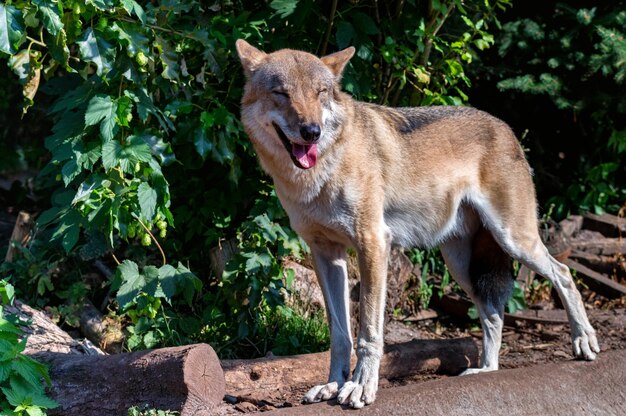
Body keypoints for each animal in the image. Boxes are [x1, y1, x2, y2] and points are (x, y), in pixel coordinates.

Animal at [233, 39, 596, 410]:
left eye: (320, 93)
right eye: (281, 93)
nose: (311, 132)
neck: (319, 175)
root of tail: (505, 127)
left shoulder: (373, 244)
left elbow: (368, 333)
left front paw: (360, 388)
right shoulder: (325, 254)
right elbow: (340, 334)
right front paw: (333, 385)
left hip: (514, 240)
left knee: (562, 273)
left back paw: (584, 342)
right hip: (462, 265)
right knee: (494, 314)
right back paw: (485, 371)